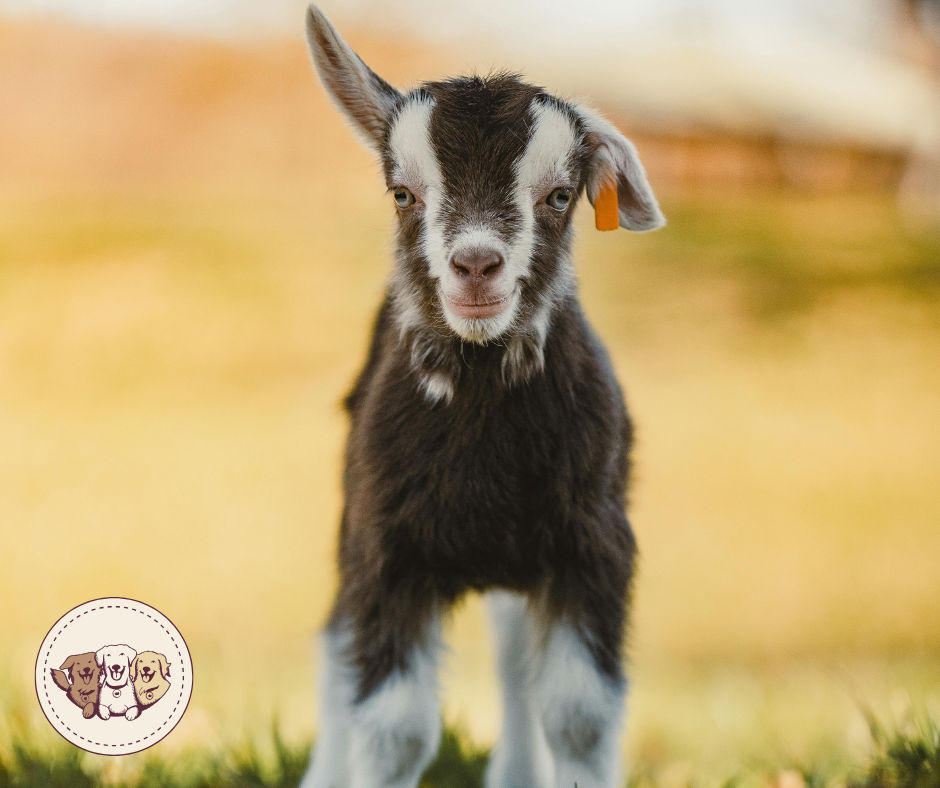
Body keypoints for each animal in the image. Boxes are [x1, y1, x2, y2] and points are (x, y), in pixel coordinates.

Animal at [299, 6, 665, 787]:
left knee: (513, 654)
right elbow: (394, 730)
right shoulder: (385, 547)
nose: (475, 265)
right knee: (335, 646)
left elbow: (579, 716)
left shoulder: (591, 545)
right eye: (401, 193)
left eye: (559, 196)